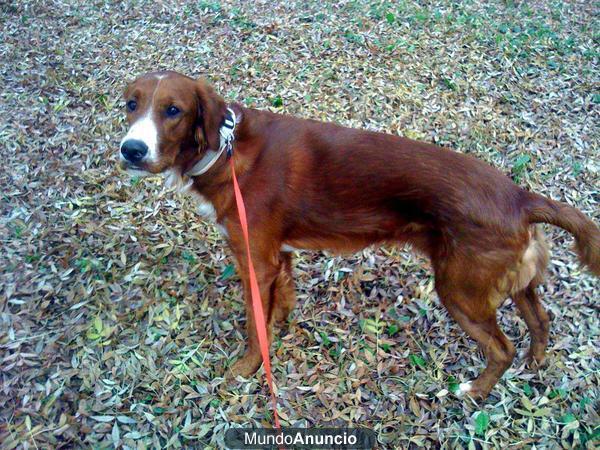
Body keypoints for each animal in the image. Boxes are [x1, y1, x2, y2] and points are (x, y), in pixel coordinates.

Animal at [119, 71, 596, 400]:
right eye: (130, 105)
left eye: (174, 111)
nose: (131, 150)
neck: (225, 151)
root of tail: (519, 196)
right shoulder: (278, 256)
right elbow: (278, 304)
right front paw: (279, 329)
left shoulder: (255, 262)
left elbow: (255, 326)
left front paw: (248, 367)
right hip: (512, 282)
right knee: (540, 320)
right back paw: (537, 362)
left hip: (461, 291)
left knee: (501, 349)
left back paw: (474, 391)